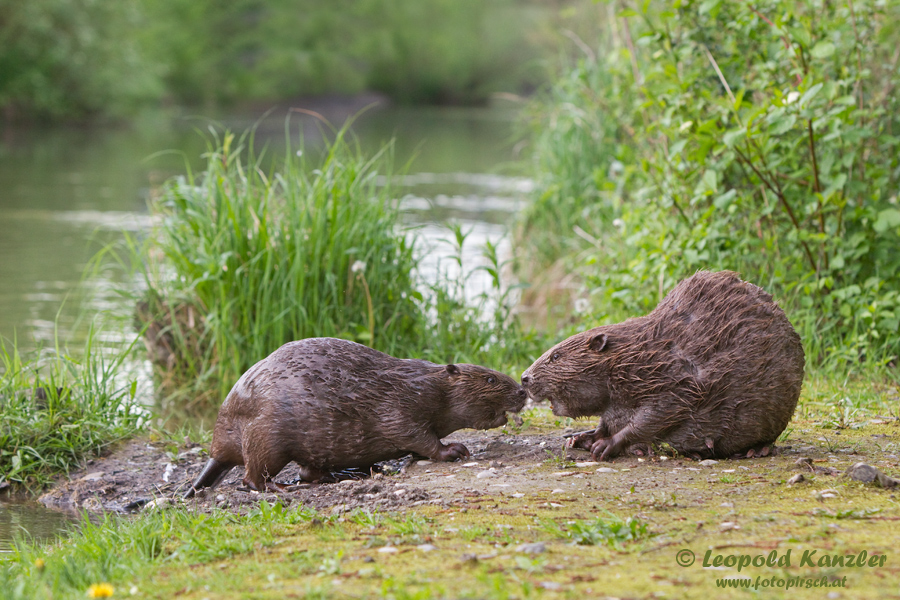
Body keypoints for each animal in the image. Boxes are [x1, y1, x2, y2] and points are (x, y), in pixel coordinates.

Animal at [188, 338, 528, 496]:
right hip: (267, 436)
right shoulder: (398, 406)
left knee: (308, 471)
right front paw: (456, 450)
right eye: (490, 379)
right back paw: (283, 487)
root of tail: (217, 449)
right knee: (253, 477)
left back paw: (344, 473)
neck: (425, 384)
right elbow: (416, 435)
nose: (523, 391)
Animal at [524, 270, 804, 462]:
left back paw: (755, 450)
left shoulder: (675, 380)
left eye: (556, 356)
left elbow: (658, 414)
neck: (635, 355)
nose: (525, 377)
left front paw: (604, 446)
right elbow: (606, 421)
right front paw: (579, 438)